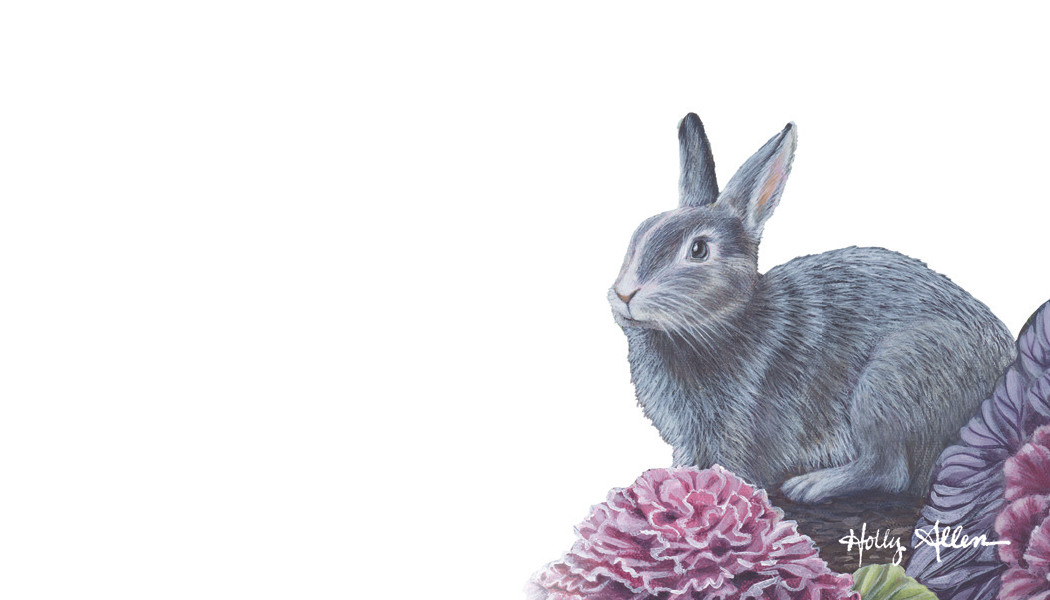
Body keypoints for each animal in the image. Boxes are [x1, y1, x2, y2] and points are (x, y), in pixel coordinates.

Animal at [608, 113, 1016, 503]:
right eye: (639, 233)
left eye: (698, 250)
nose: (624, 295)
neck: (724, 320)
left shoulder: (737, 427)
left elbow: (732, 473)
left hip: (891, 381)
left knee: (890, 469)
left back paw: (812, 486)